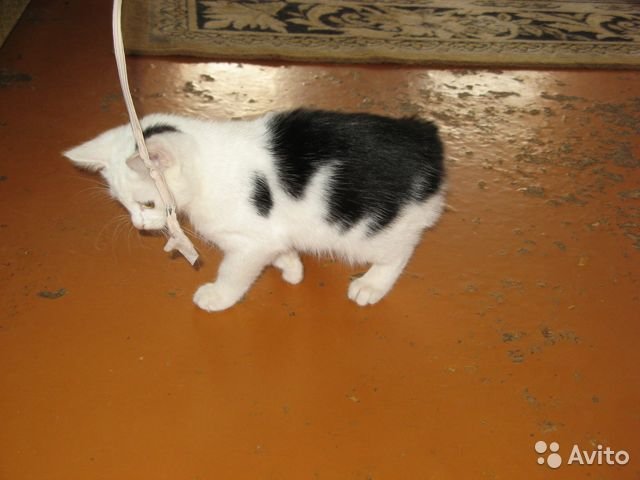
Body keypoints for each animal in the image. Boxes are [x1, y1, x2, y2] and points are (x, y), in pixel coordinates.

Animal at [64, 108, 446, 312]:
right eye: (124, 204)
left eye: (147, 203)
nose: (139, 224)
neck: (207, 165)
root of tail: (426, 138)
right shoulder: (268, 233)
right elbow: (278, 245)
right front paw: (291, 266)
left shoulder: (248, 242)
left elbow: (235, 271)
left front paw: (218, 295)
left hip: (366, 229)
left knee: (399, 250)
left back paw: (372, 284)